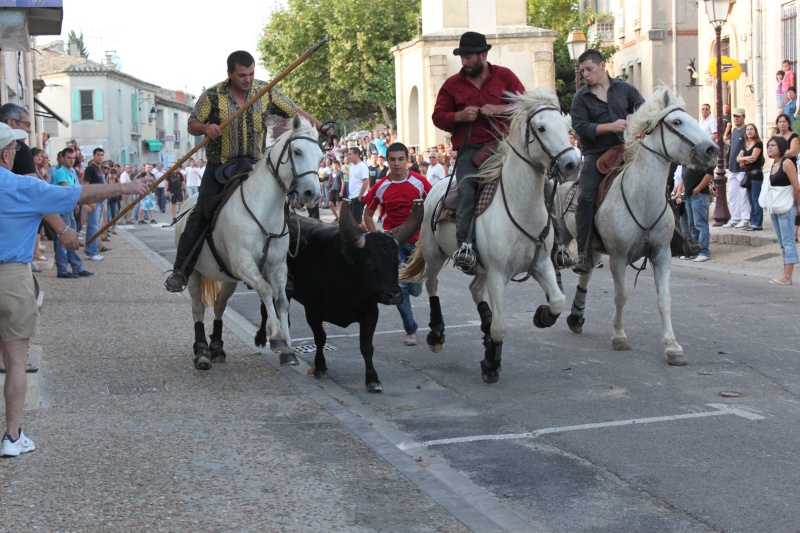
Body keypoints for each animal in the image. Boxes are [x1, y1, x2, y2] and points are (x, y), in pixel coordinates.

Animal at [175, 114, 322, 368]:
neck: (264, 210)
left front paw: (288, 345)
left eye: (322, 156)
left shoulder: (277, 267)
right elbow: (265, 290)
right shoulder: (243, 263)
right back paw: (202, 351)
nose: (312, 195)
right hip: (194, 273)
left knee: (220, 306)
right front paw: (276, 337)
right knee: (198, 308)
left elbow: (282, 300)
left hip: (227, 278)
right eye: (298, 151)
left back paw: (217, 347)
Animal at [256, 198, 424, 390]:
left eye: (395, 262)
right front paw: (320, 367)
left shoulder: (370, 312)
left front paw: (372, 379)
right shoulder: (312, 311)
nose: (395, 295)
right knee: (265, 308)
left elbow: (366, 346)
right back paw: (262, 338)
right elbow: (320, 338)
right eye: (368, 264)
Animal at [404, 90, 580, 382]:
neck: (521, 208)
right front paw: (490, 363)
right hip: (434, 254)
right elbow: (500, 326)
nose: (572, 164)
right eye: (542, 128)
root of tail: (435, 186)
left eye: (568, 129)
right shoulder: (498, 274)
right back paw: (437, 333)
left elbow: (558, 301)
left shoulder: (541, 264)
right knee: (432, 286)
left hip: (480, 267)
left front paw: (542, 316)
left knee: (474, 289)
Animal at [556, 87, 720, 364]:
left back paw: (576, 317)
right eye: (677, 122)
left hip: (593, 247)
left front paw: (672, 347)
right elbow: (621, 296)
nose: (712, 149)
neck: (642, 198)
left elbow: (664, 299)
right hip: (562, 237)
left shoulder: (662, 254)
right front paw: (619, 337)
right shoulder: (618, 257)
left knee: (586, 274)